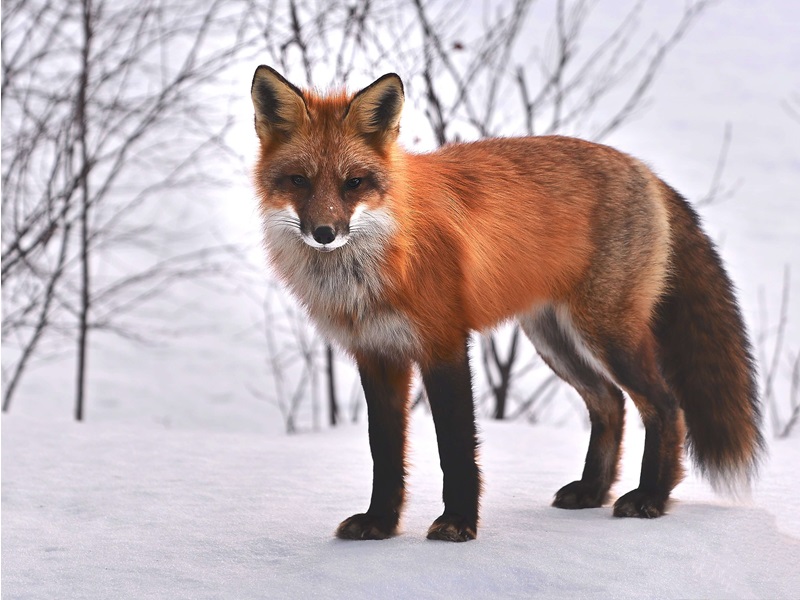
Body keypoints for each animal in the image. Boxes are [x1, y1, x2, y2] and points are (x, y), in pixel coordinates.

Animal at [250, 66, 763, 542]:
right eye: (298, 180)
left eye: (354, 183)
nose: (324, 233)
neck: (378, 262)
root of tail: (644, 170)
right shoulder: (377, 355)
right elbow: (385, 453)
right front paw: (380, 523)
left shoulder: (444, 344)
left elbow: (456, 447)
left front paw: (458, 523)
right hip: (554, 339)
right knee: (610, 403)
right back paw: (593, 491)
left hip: (607, 334)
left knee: (666, 406)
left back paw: (651, 497)